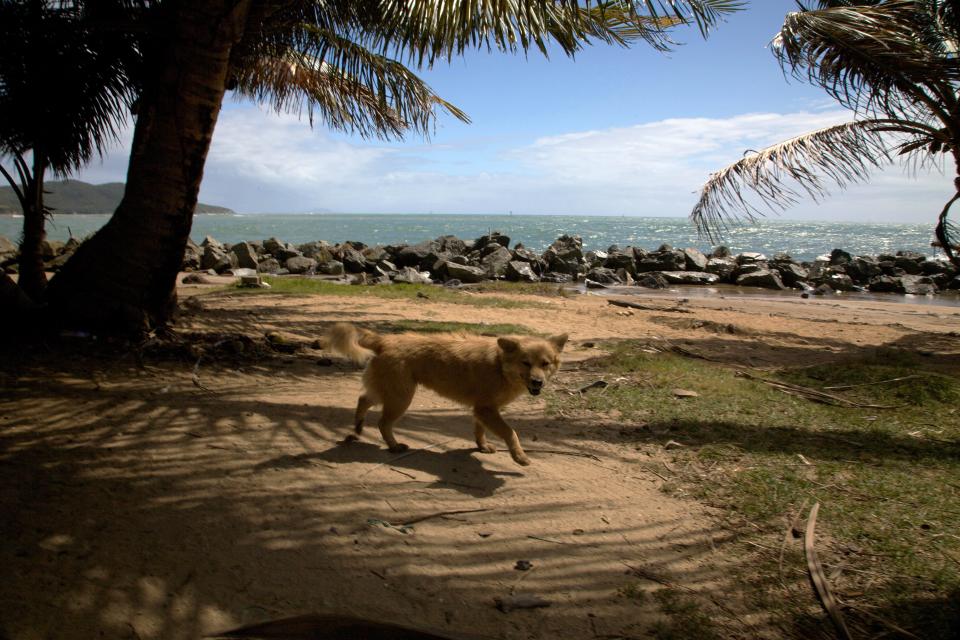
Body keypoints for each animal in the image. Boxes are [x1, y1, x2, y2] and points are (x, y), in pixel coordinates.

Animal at [326, 324, 568, 464]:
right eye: (525, 363)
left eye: (545, 364)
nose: (538, 382)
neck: (499, 365)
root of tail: (384, 340)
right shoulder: (487, 410)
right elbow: (511, 432)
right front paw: (519, 456)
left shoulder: (482, 410)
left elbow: (479, 431)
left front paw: (482, 447)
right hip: (401, 398)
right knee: (383, 423)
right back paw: (393, 446)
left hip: (389, 392)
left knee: (363, 399)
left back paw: (358, 427)